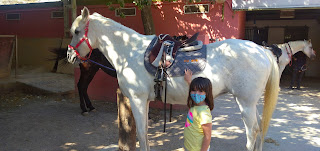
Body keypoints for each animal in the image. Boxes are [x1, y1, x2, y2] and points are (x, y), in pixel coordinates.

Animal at [67, 7, 280, 151]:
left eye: (77, 32)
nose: (70, 56)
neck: (129, 50)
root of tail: (261, 51)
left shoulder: (137, 99)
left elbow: (142, 134)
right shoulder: (144, 101)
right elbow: (145, 132)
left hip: (245, 102)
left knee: (252, 132)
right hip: (250, 103)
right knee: (260, 128)